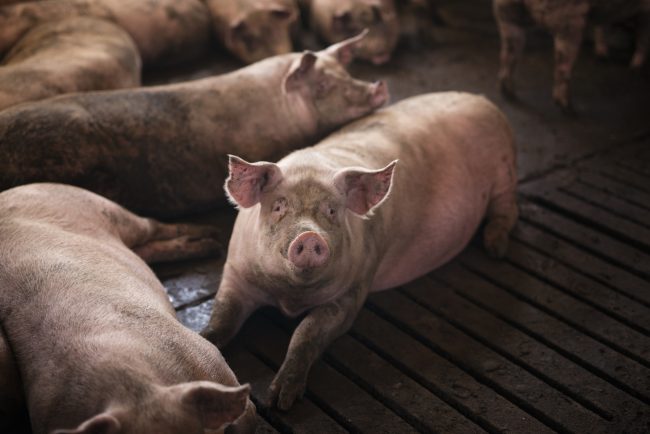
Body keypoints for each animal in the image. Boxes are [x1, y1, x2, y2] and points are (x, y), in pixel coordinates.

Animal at [0, 183, 257, 434]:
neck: (135, 388)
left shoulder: (210, 359)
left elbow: (248, 411)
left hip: (107, 209)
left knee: (154, 226)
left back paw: (213, 238)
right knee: (148, 249)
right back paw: (210, 245)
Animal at [201, 91, 518, 410]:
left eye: (332, 210)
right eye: (279, 207)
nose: (309, 236)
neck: (290, 297)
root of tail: (482, 100)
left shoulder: (353, 291)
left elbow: (306, 333)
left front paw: (280, 401)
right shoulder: (235, 273)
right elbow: (222, 316)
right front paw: (203, 340)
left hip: (505, 170)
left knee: (506, 209)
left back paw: (496, 249)